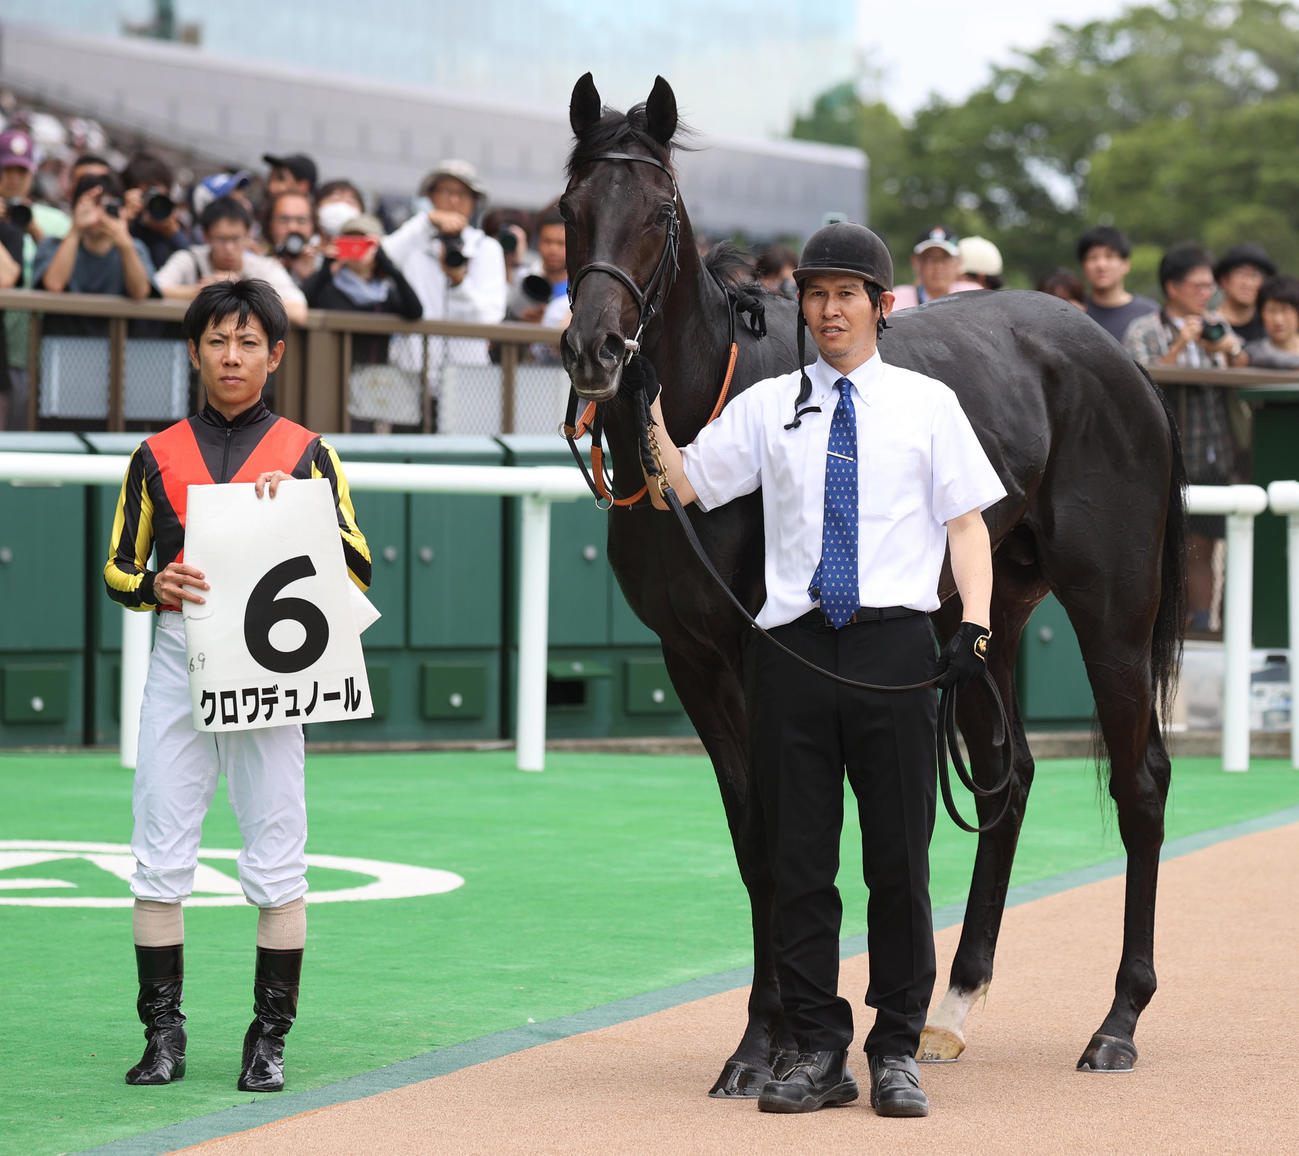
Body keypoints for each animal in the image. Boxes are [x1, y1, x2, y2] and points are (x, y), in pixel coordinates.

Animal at [559, 73, 1186, 1096]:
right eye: (569, 210)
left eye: (659, 212)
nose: (596, 350)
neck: (700, 425)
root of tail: (1119, 361)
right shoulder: (690, 657)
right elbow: (755, 845)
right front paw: (767, 1041)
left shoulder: (760, 652)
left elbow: (785, 835)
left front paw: (764, 1042)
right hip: (981, 613)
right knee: (1005, 778)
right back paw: (953, 1006)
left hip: (1112, 610)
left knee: (1140, 784)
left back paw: (1118, 1021)